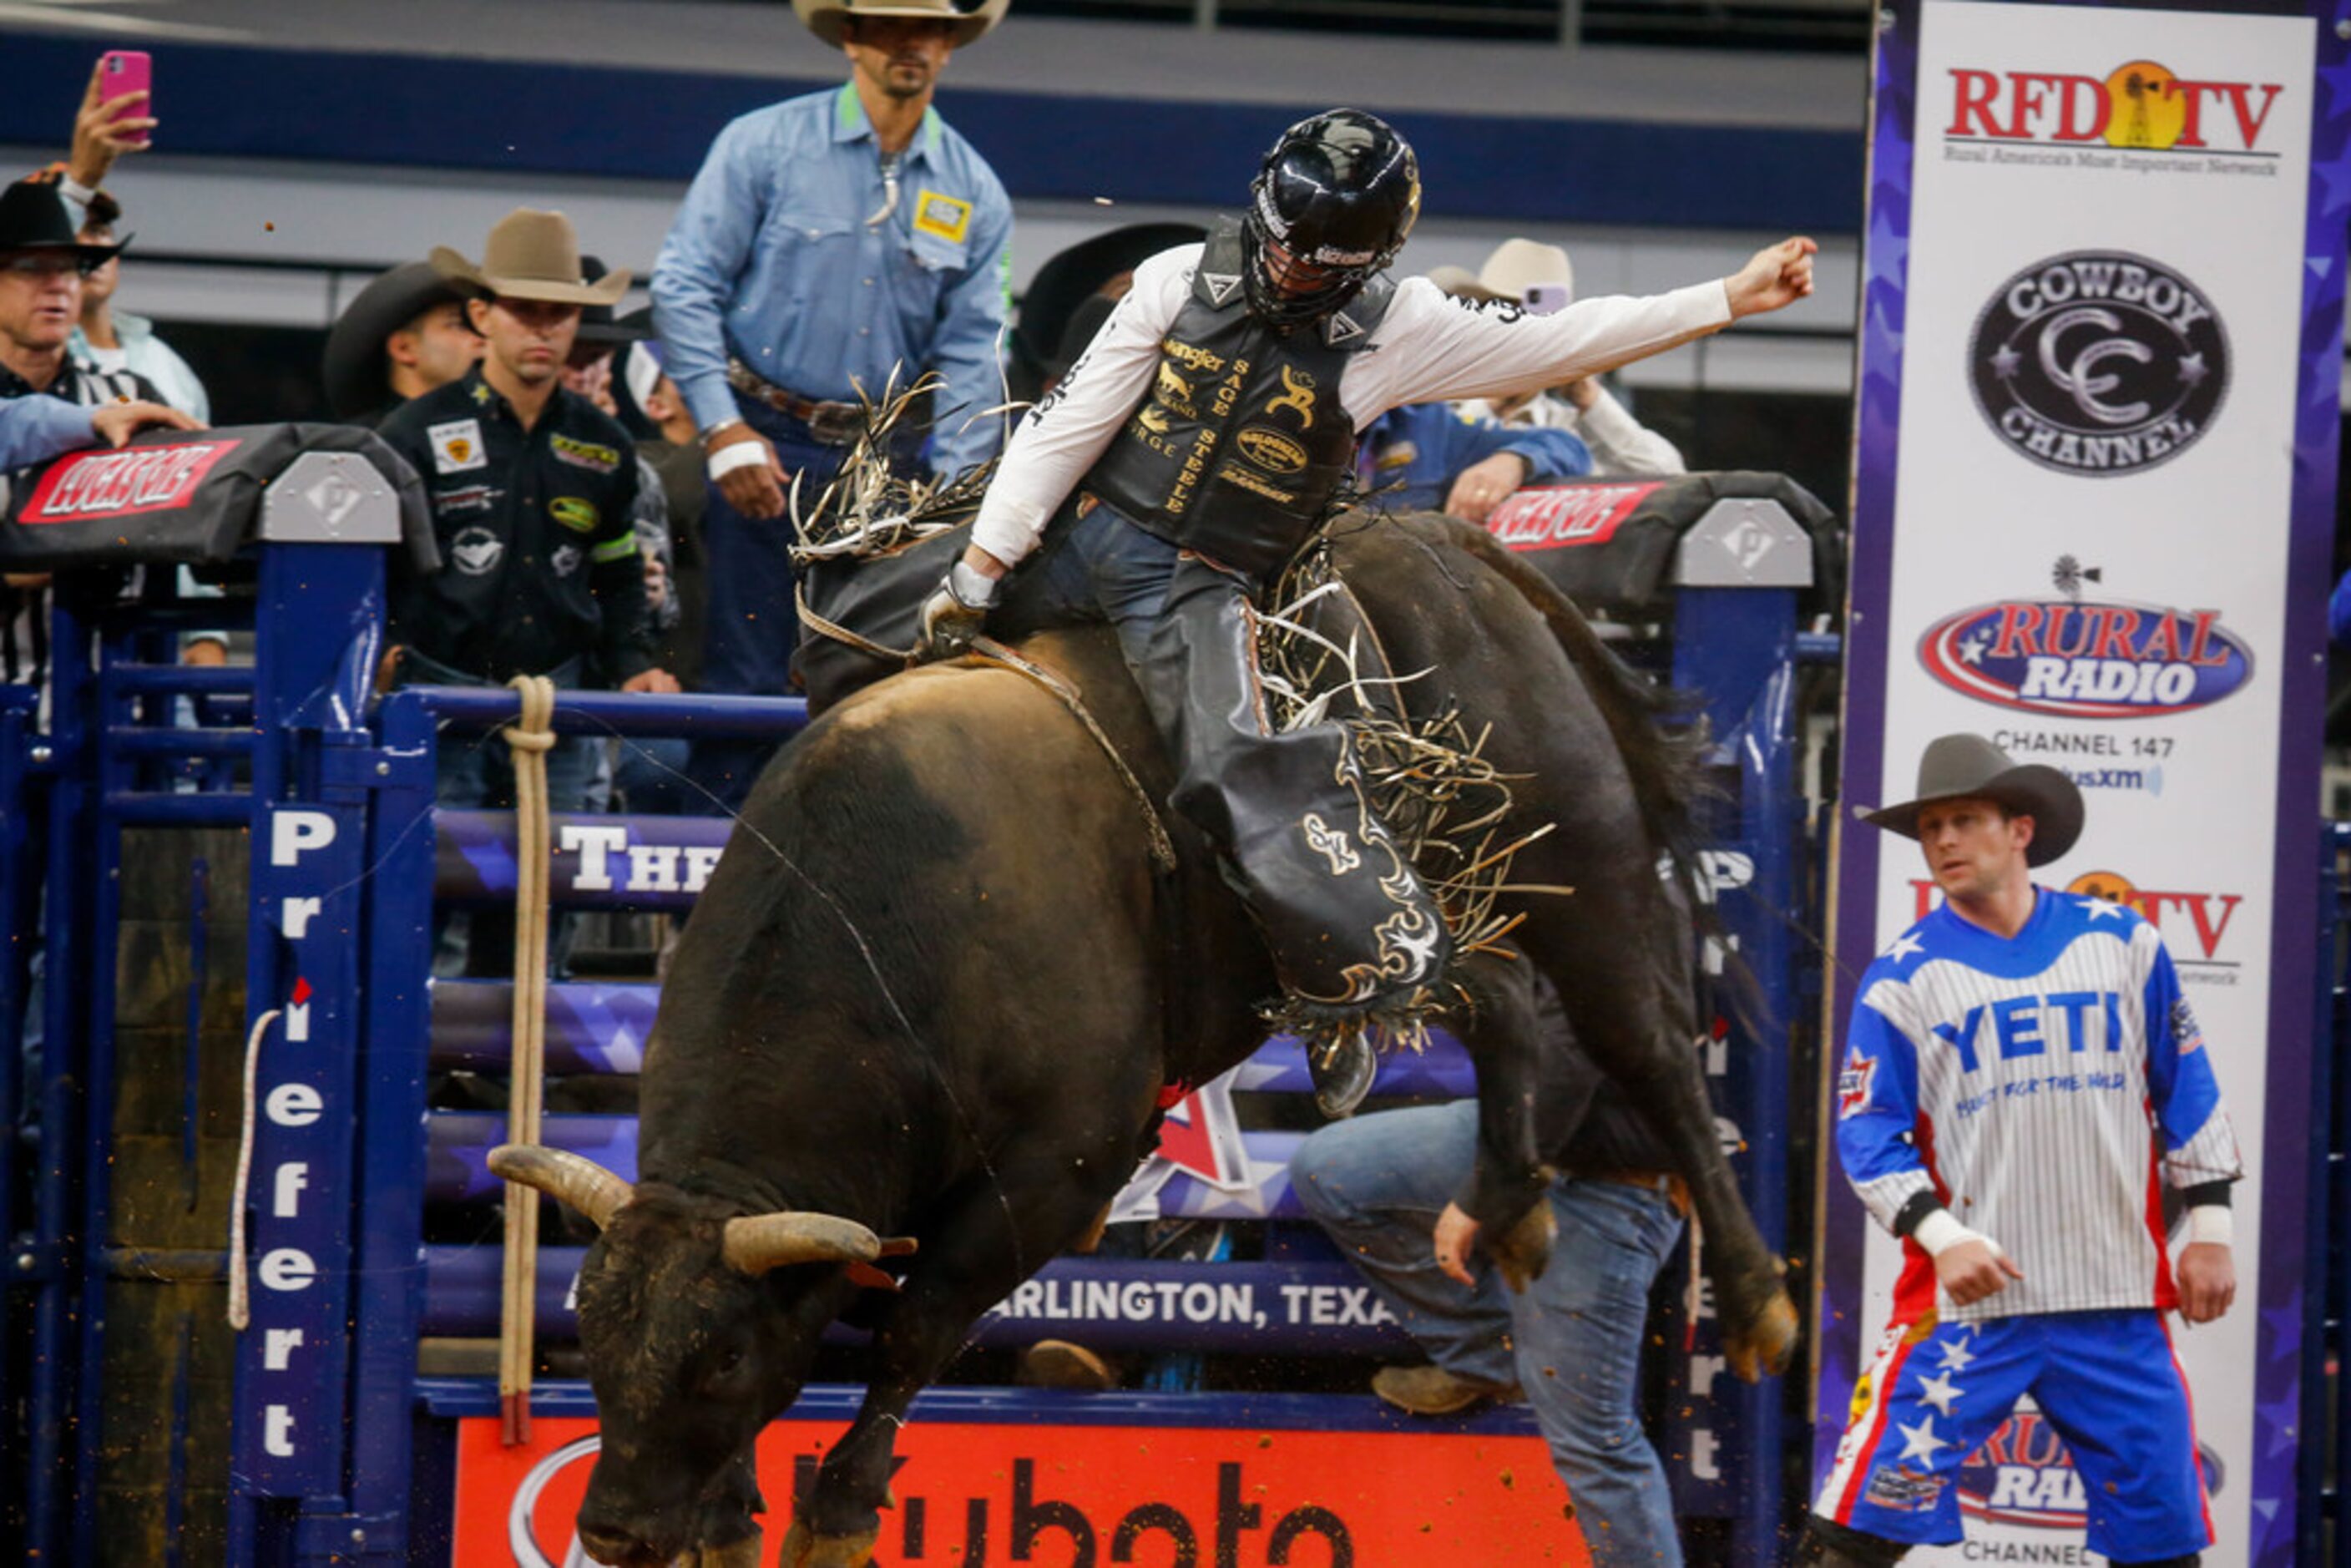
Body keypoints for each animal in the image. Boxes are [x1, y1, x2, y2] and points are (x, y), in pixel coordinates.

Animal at [486, 514, 1787, 1568]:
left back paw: (1756, 1298)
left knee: (1649, 1044)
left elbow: (914, 1325)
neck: (899, 914)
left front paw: (838, 1513)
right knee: (1505, 998)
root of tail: (1445, 544)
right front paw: (729, 1516)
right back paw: (1512, 1208)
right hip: (1422, 926)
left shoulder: (1057, 1172)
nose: (614, 1530)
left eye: (716, 1361)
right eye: (591, 1336)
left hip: (1580, 860)